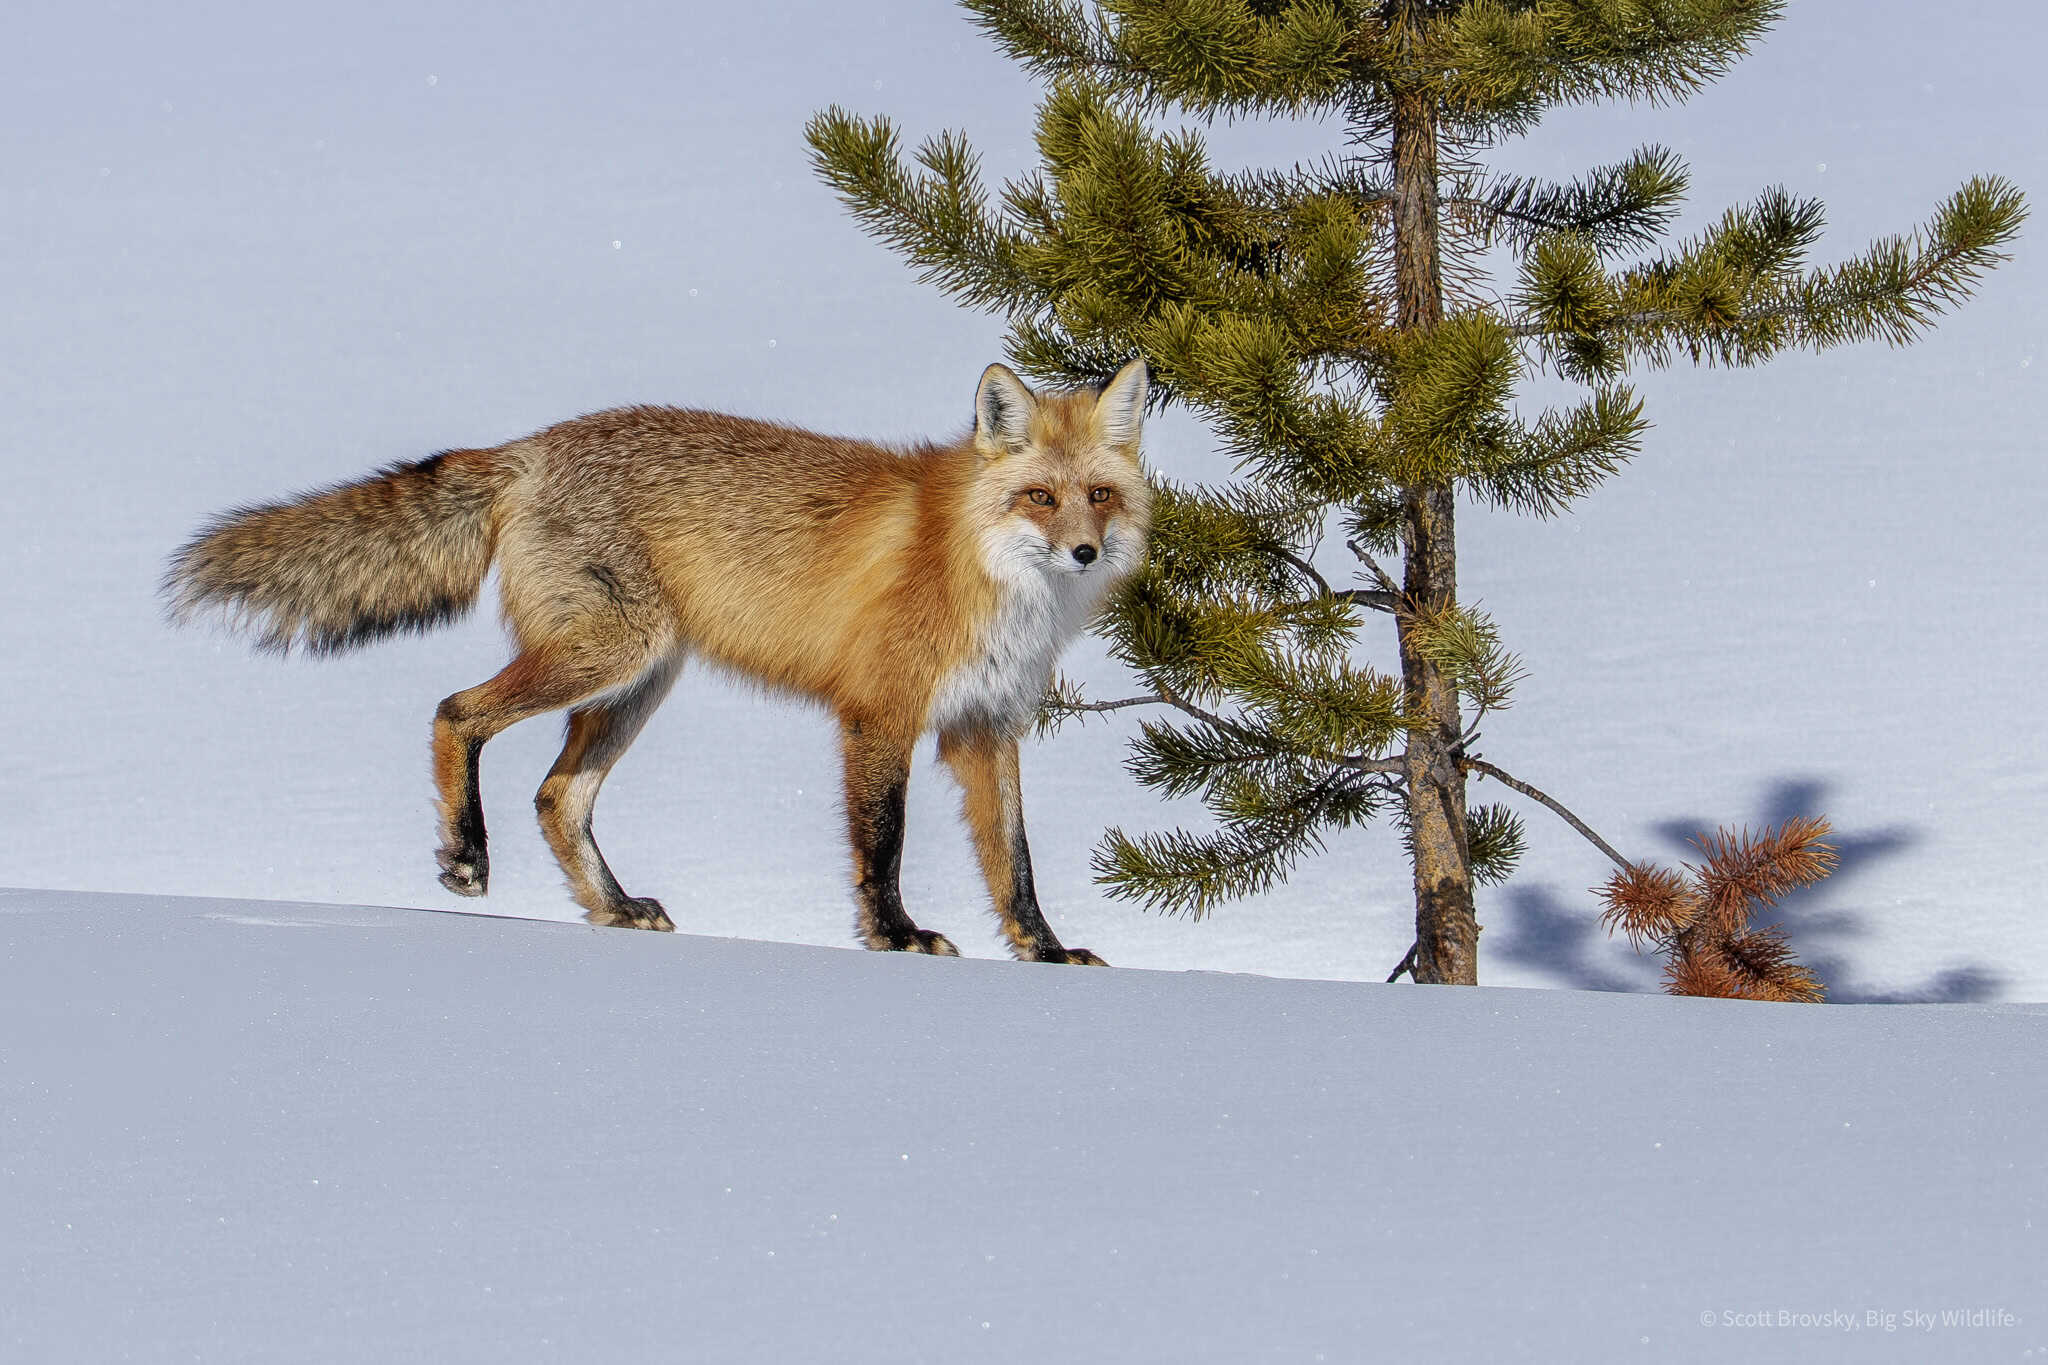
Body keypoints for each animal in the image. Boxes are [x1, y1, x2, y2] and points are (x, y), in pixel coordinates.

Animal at [164, 359, 1151, 964]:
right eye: (1040, 497)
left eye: (1101, 495)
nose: (1084, 553)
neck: (986, 573)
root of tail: (530, 446)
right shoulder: (882, 714)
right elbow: (885, 845)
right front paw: (896, 935)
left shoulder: (986, 724)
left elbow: (1016, 863)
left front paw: (1048, 951)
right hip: (609, 654)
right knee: (454, 710)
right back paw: (468, 854)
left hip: (640, 682)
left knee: (556, 798)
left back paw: (614, 906)